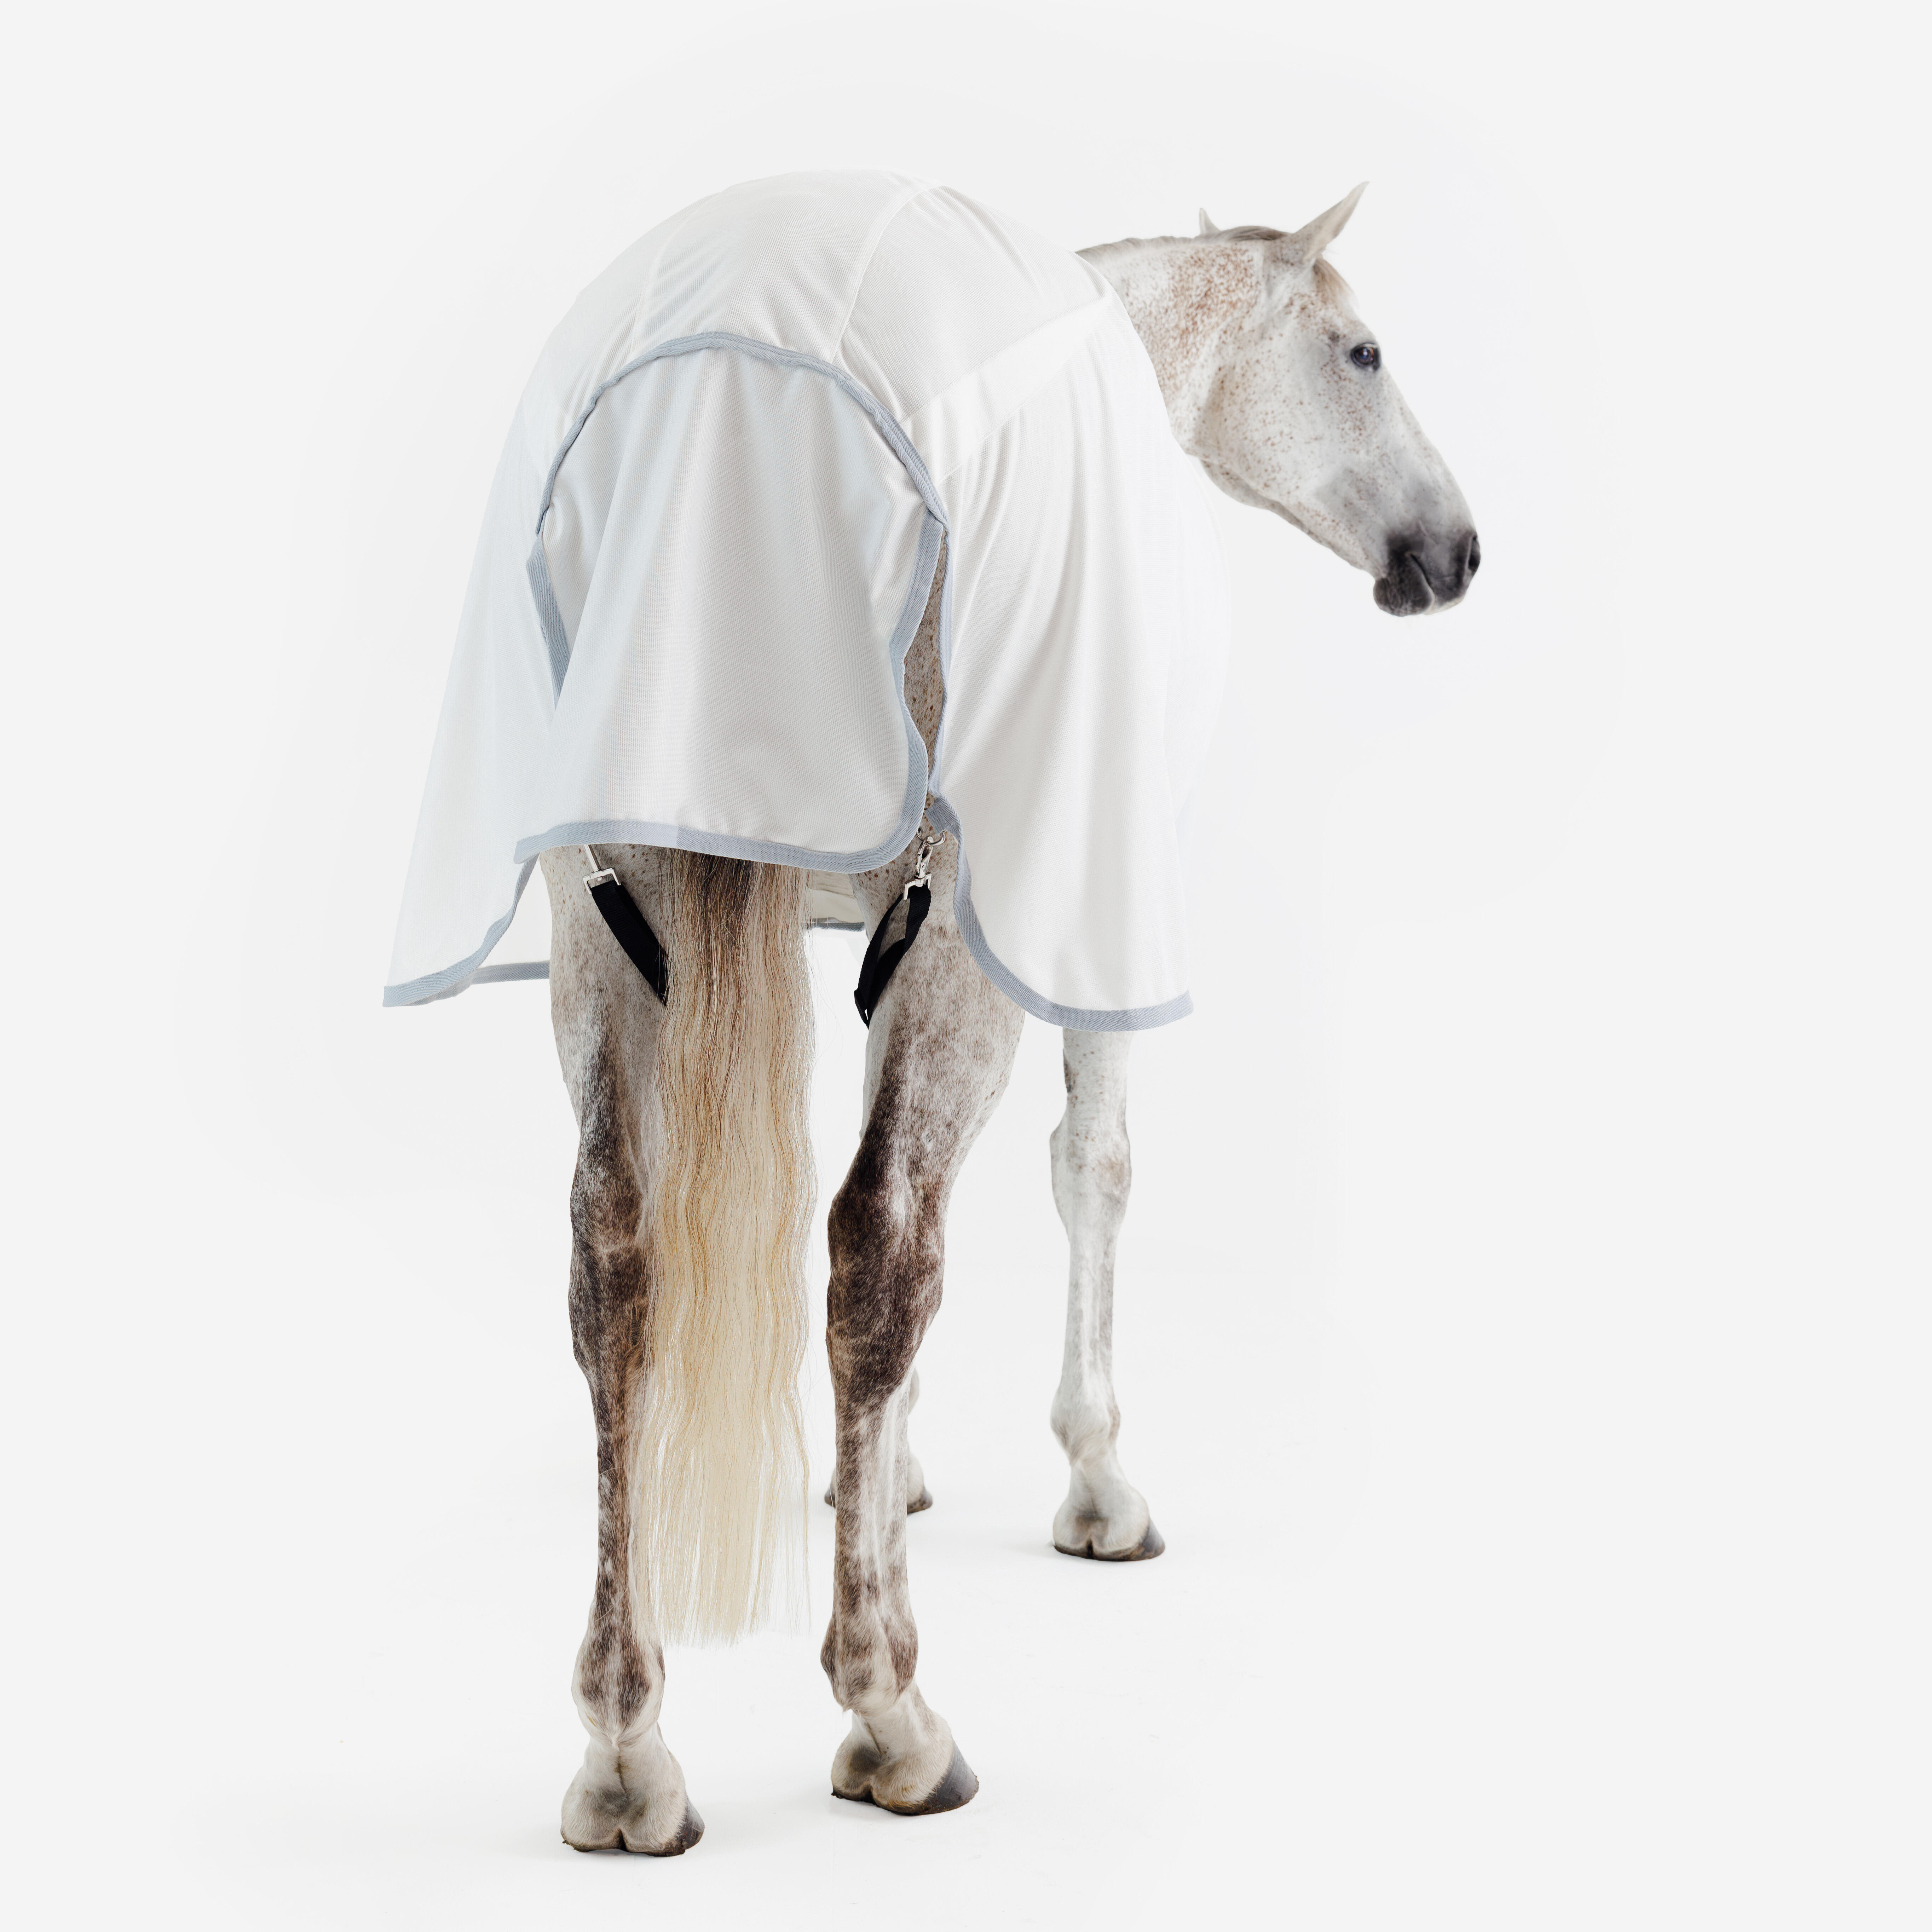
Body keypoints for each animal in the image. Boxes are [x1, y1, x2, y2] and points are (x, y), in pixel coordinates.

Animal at [522, 183, 1477, 1852]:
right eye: (1362, 353)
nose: (1457, 551)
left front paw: (882, 1484)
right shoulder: (1080, 906)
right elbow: (1086, 1170)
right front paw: (1095, 1483)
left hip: (609, 930)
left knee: (621, 1270)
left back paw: (628, 1754)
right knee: (876, 1249)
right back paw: (892, 1719)